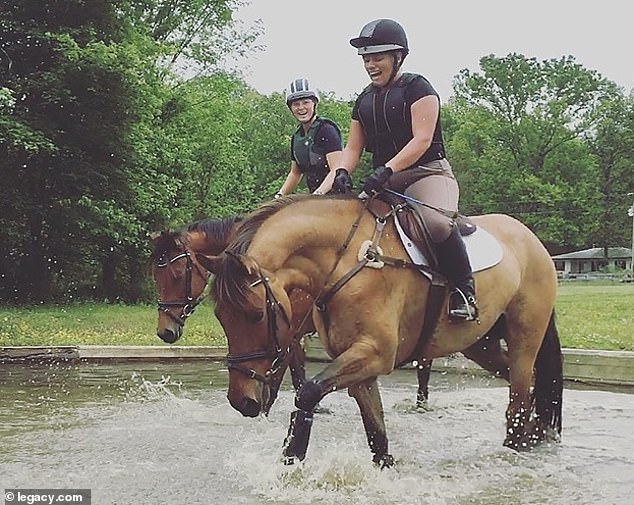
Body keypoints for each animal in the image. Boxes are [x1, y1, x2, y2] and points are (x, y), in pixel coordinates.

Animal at [195, 192, 560, 464]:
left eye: (256, 315)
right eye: (221, 317)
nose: (241, 401)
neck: (346, 261)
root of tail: (532, 240)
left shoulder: (375, 354)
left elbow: (308, 391)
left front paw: (293, 452)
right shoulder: (359, 366)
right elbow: (377, 435)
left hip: (524, 337)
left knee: (518, 396)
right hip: (480, 345)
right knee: (529, 384)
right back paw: (539, 430)